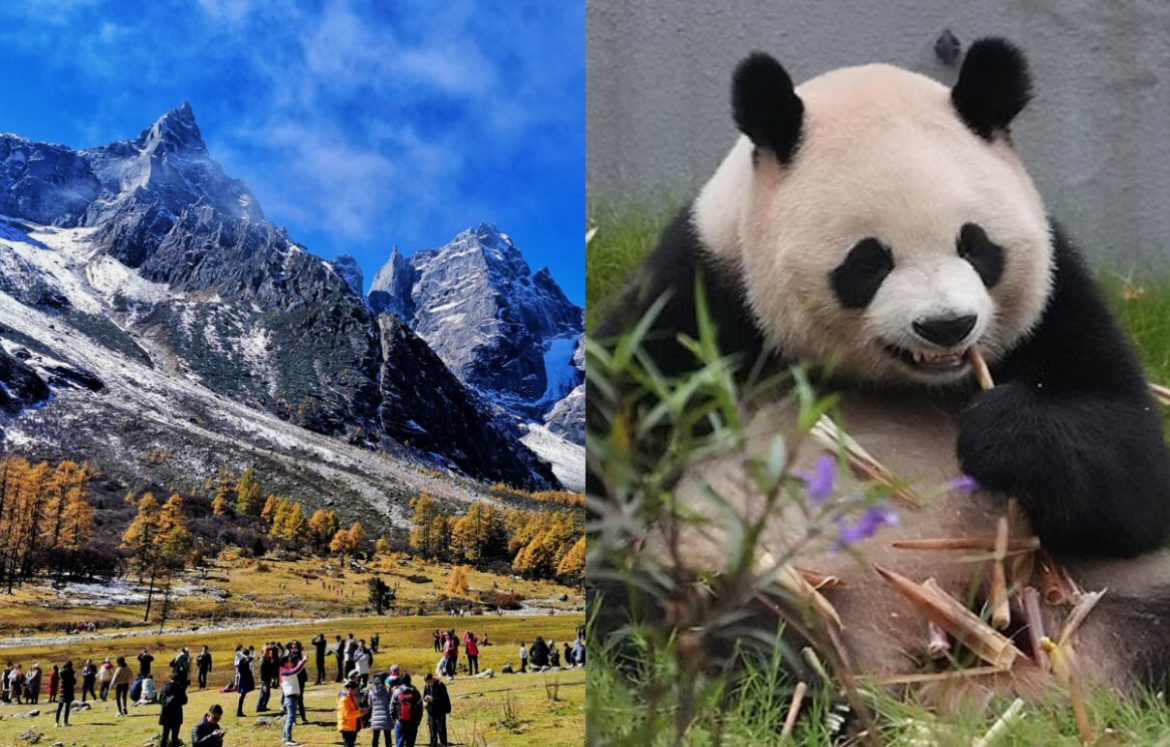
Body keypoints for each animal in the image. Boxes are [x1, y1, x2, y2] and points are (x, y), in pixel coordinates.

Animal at [595, 38, 1170, 692]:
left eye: (975, 245)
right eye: (869, 261)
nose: (947, 325)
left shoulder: (1058, 299)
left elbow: (1131, 471)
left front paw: (1001, 431)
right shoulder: (699, 295)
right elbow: (614, 428)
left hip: (1102, 590)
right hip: (758, 571)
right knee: (715, 628)